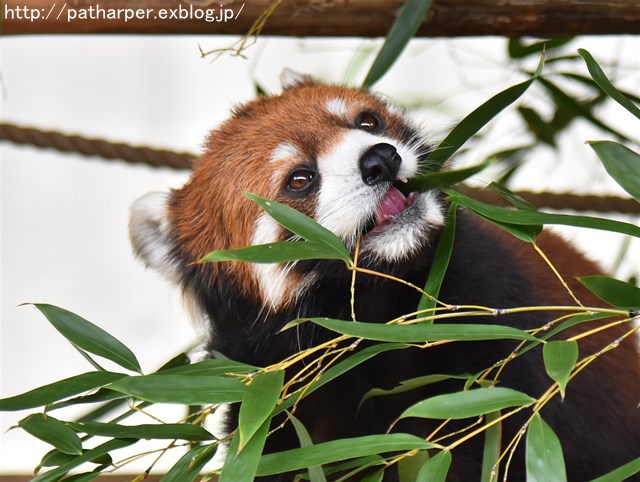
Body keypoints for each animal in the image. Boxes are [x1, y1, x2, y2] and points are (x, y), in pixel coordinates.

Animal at [130, 69, 640, 480]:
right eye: (300, 179)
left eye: (367, 122)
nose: (380, 159)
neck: (375, 322)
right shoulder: (278, 400)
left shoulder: (494, 331)